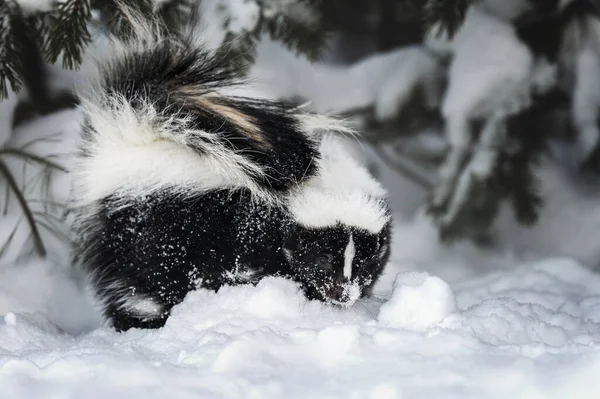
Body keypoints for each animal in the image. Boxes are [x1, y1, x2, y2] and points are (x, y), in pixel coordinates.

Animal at [71, 15, 390, 332]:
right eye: (323, 258)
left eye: (364, 262)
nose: (343, 294)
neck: (319, 181)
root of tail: (131, 140)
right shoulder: (248, 226)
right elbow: (249, 266)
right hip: (154, 234)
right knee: (150, 283)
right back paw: (147, 319)